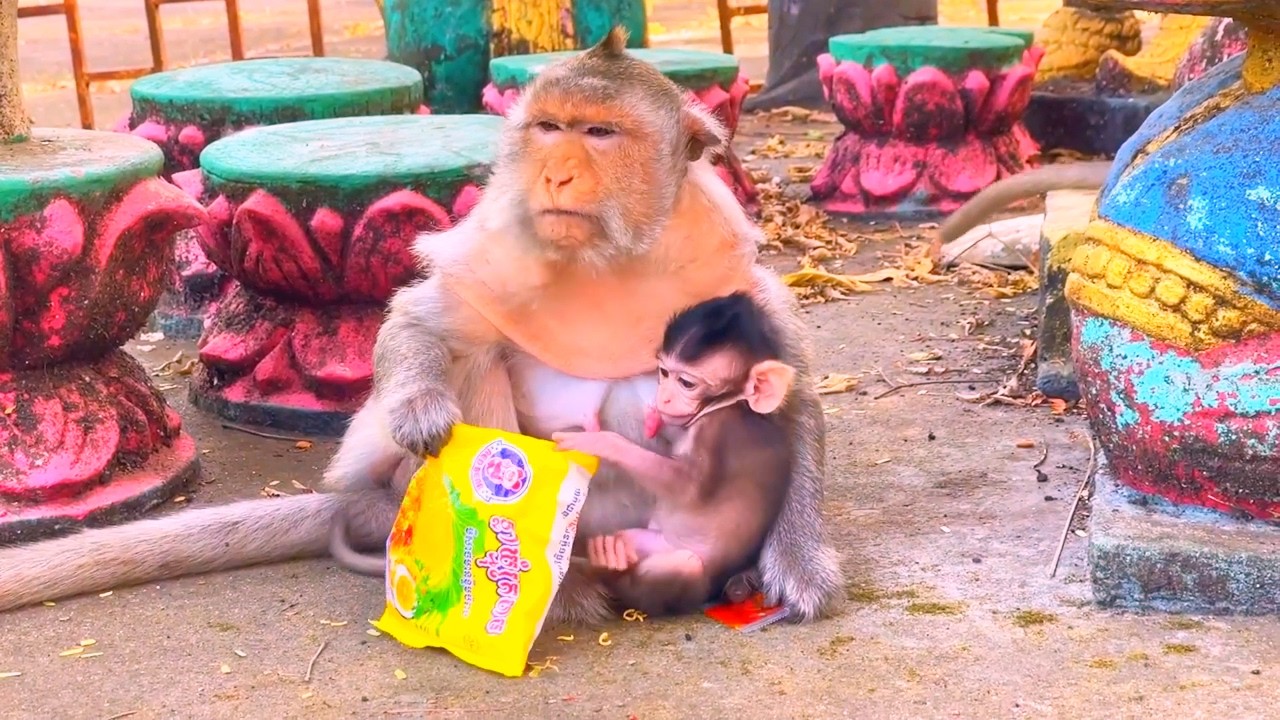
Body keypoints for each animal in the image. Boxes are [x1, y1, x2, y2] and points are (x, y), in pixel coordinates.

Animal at [551, 292, 795, 615]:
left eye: (686, 383)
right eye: (664, 373)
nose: (663, 397)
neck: (732, 405)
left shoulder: (715, 431)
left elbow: (686, 488)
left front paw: (600, 441)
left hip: (689, 578)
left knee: (682, 567)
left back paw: (613, 565)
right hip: (647, 540)